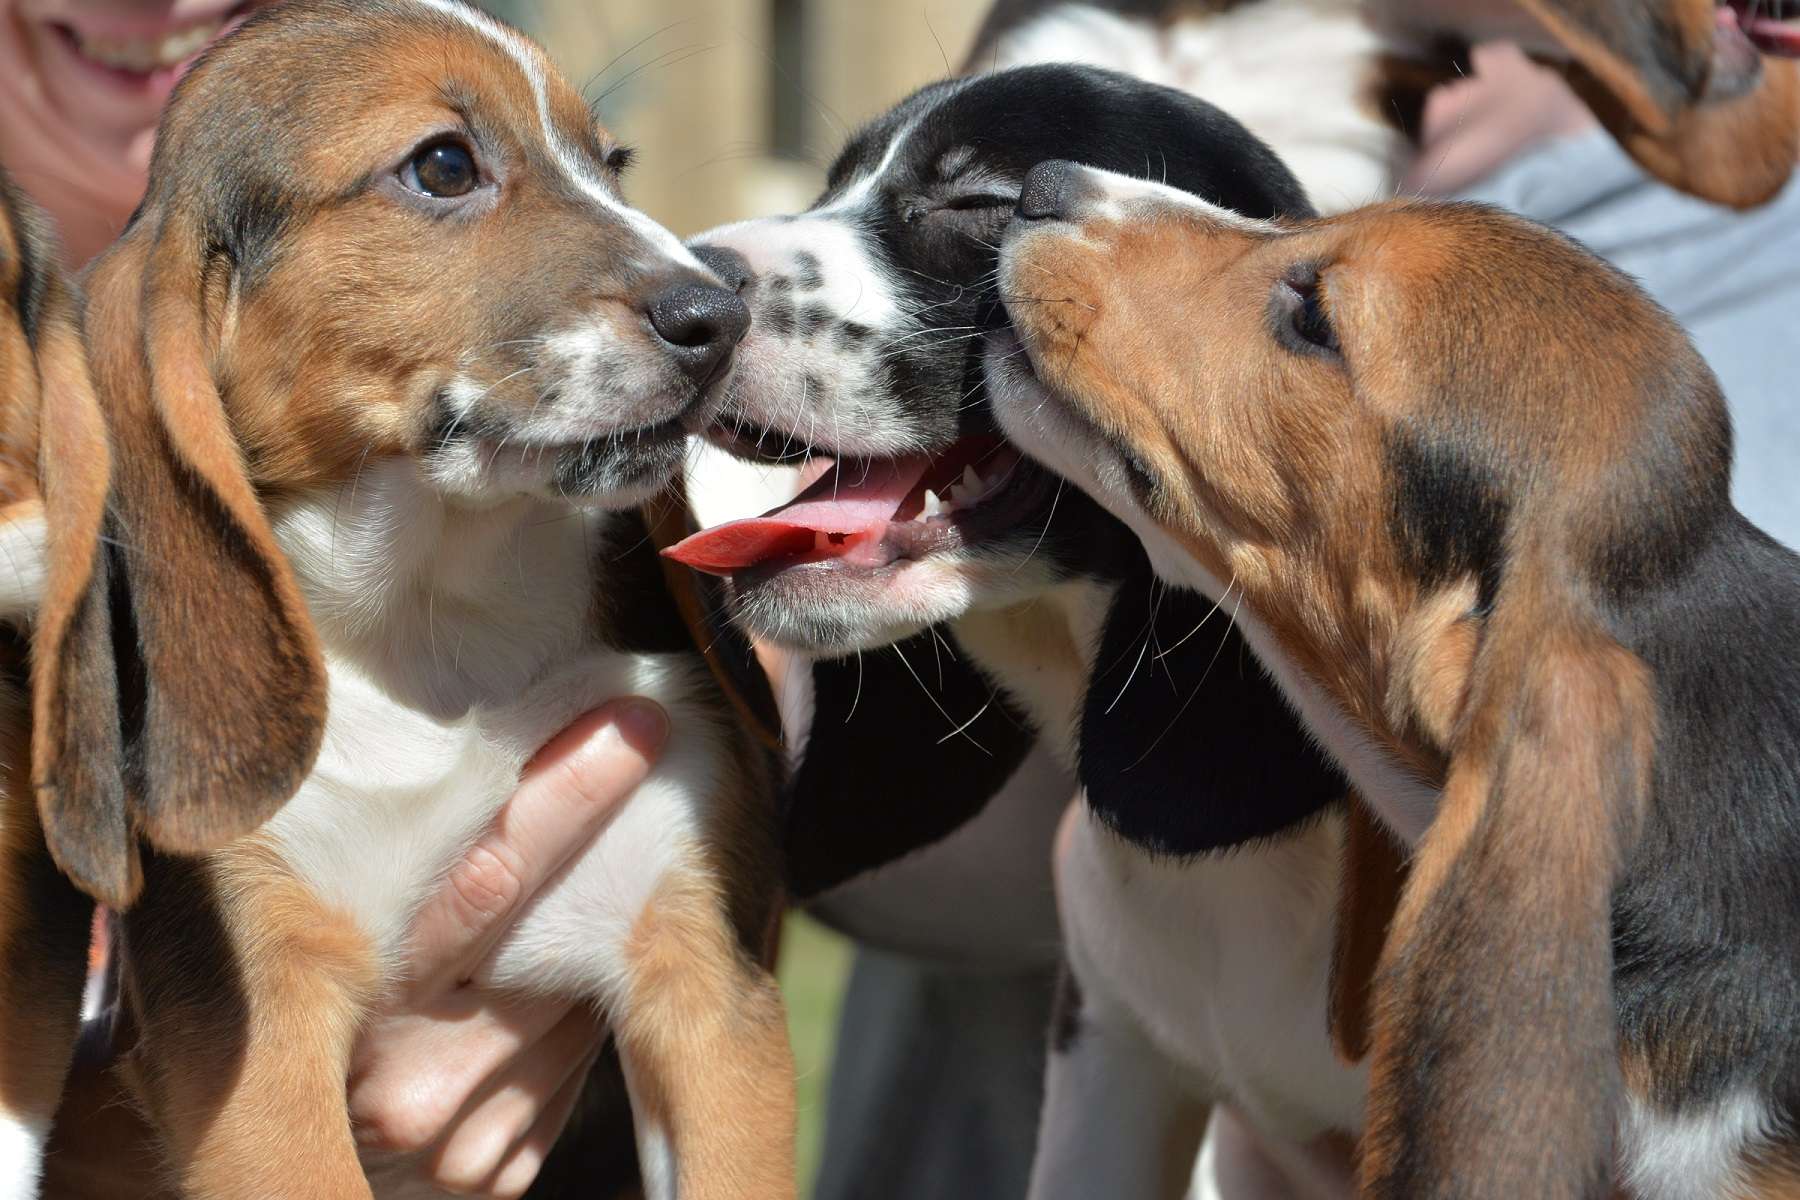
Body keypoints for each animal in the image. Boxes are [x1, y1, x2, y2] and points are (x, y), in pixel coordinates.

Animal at [58, 4, 788, 1194]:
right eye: (444, 166)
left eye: (613, 162)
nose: (725, 316)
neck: (437, 624)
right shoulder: (260, 1045)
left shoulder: (705, 981)